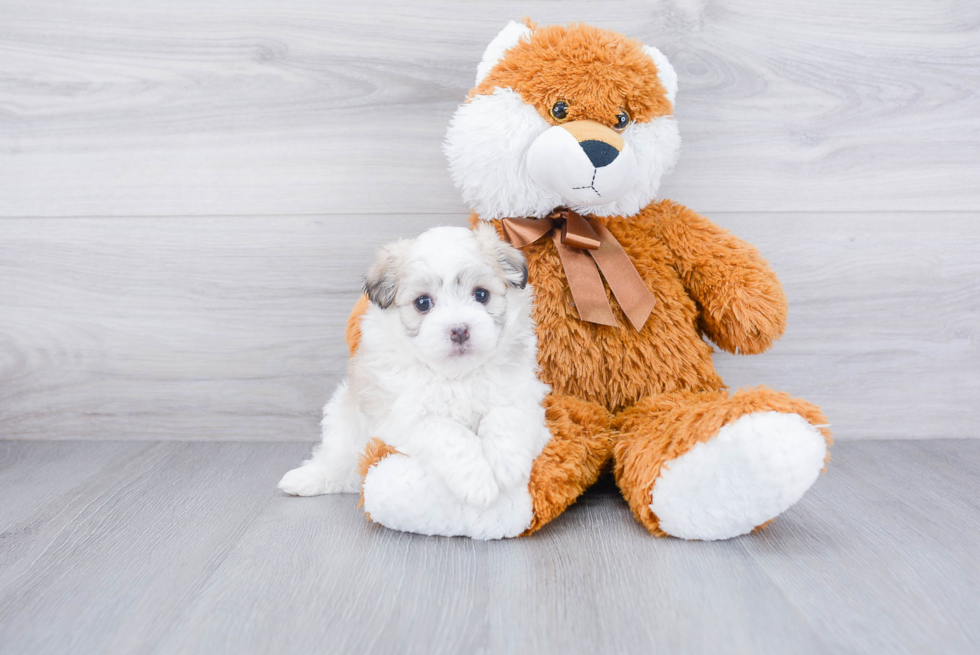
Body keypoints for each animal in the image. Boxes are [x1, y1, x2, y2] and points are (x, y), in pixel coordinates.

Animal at [280, 226, 552, 540]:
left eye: (481, 295)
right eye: (423, 303)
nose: (459, 330)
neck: (455, 376)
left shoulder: (520, 391)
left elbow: (505, 418)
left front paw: (507, 465)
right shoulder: (403, 416)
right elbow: (450, 435)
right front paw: (478, 482)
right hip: (343, 426)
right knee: (337, 461)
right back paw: (305, 479)